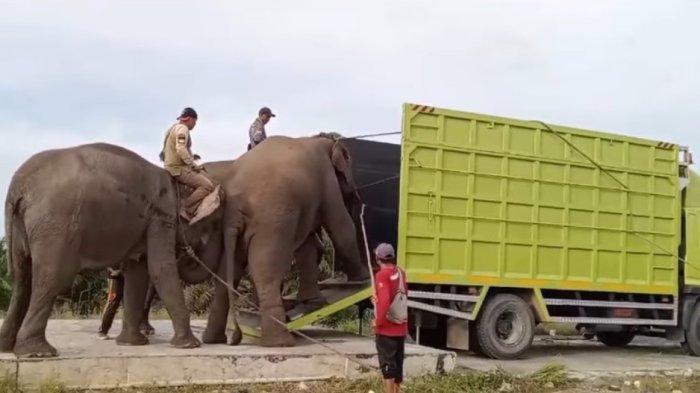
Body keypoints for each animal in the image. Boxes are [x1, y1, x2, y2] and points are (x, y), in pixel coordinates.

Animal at [0, 143, 224, 356]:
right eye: (212, 225)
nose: (188, 253)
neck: (179, 184)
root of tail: (18, 186)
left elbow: (137, 272)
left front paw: (131, 343)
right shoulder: (162, 217)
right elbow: (160, 269)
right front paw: (190, 345)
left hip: (22, 226)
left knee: (22, 278)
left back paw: (9, 348)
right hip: (55, 225)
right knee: (51, 277)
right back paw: (37, 352)